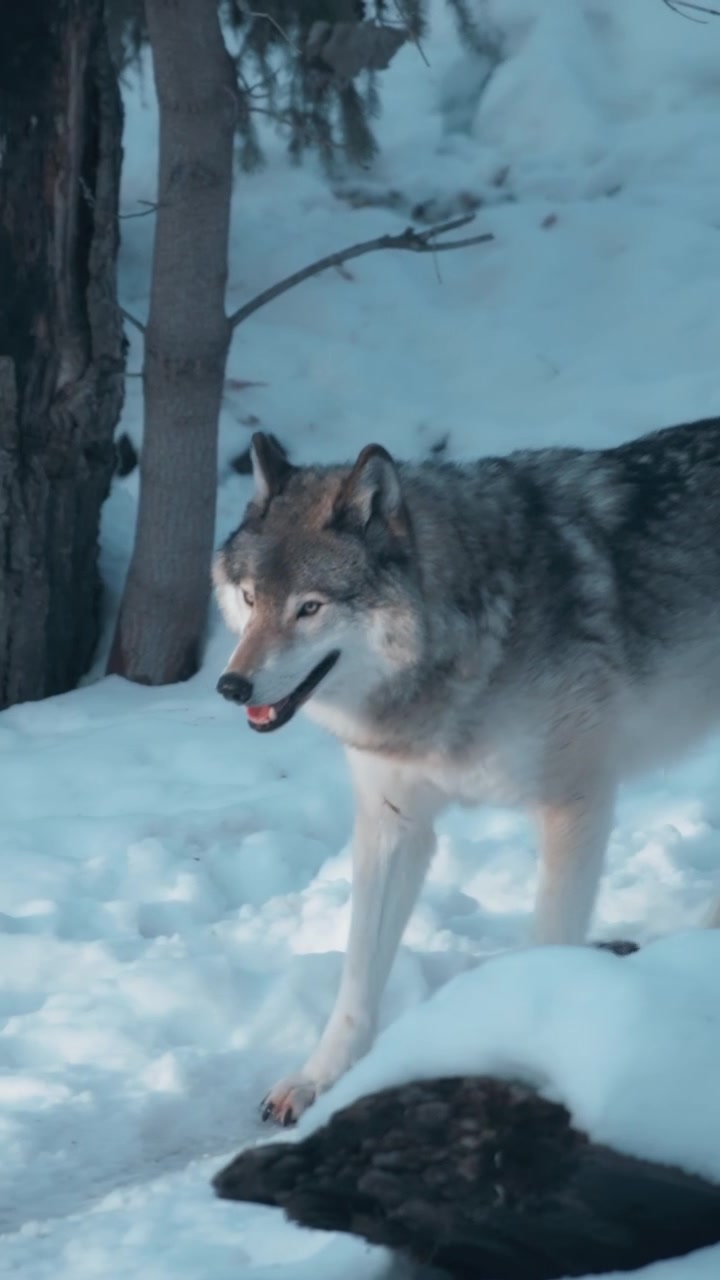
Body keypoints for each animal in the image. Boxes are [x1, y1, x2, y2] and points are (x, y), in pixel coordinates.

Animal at [213, 420, 720, 1125]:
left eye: (309, 608)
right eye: (251, 599)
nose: (231, 686)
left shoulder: (575, 804)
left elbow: (546, 942)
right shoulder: (394, 821)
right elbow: (357, 975)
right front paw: (318, 1078)